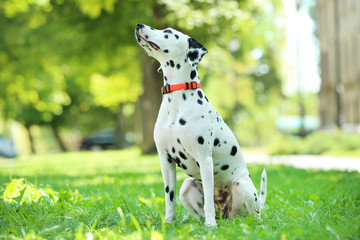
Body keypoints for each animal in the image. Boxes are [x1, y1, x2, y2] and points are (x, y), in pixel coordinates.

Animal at [135, 22, 268, 227]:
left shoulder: (205, 159)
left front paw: (211, 226)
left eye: (168, 32)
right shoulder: (166, 161)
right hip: (186, 186)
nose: (139, 25)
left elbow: (208, 199)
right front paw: (168, 222)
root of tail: (226, 216)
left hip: (242, 186)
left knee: (255, 214)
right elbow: (168, 197)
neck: (177, 99)